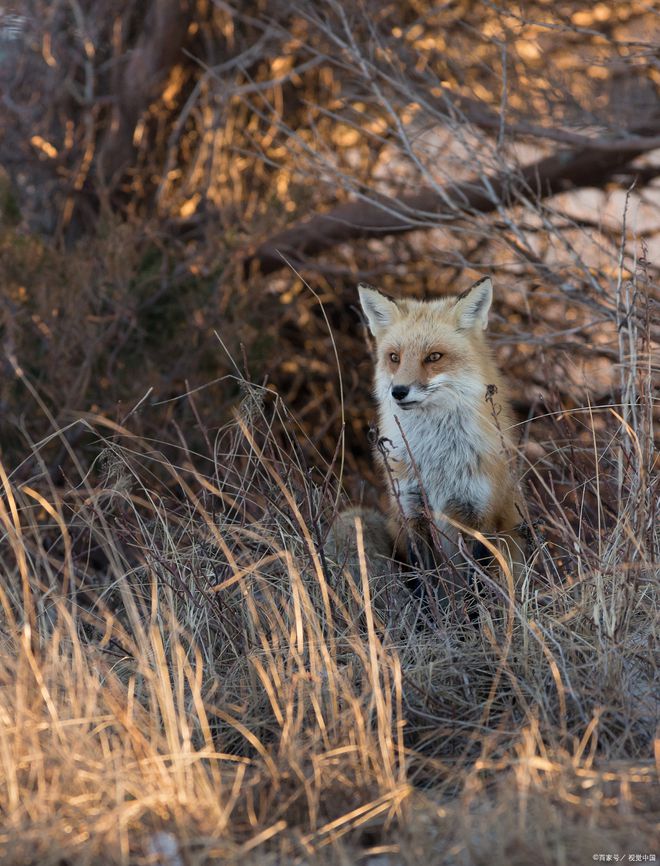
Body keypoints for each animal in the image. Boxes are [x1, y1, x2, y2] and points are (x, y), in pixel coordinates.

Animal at [358, 274, 524, 576]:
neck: (438, 461)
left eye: (434, 357)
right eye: (394, 357)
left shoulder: (479, 516)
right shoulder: (411, 512)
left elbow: (476, 583)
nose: (398, 392)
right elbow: (425, 581)